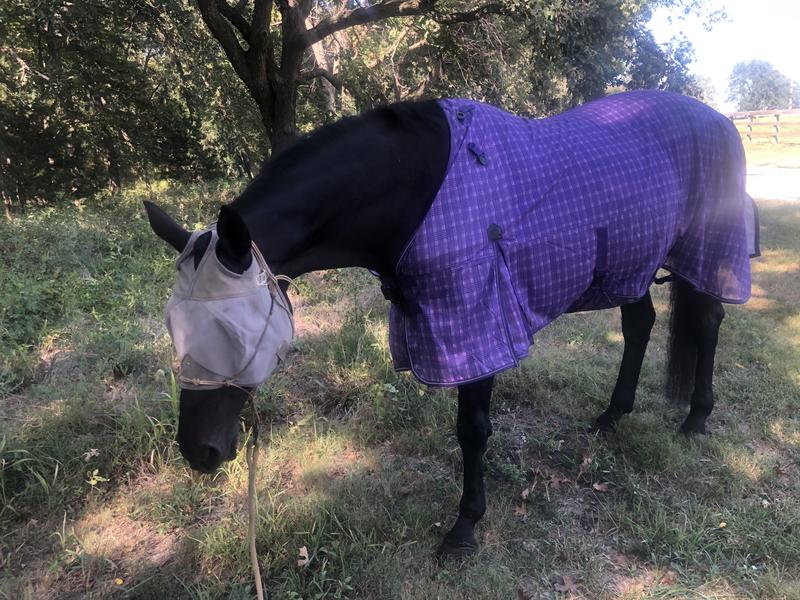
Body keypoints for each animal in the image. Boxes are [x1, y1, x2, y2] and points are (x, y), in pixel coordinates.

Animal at [144, 90, 758, 556]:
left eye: (229, 328)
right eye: (173, 325)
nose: (198, 453)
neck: (415, 192)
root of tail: (720, 120)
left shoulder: (474, 323)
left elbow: (473, 430)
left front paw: (465, 527)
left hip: (704, 253)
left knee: (707, 324)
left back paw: (696, 419)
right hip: (631, 263)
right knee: (640, 325)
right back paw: (612, 416)